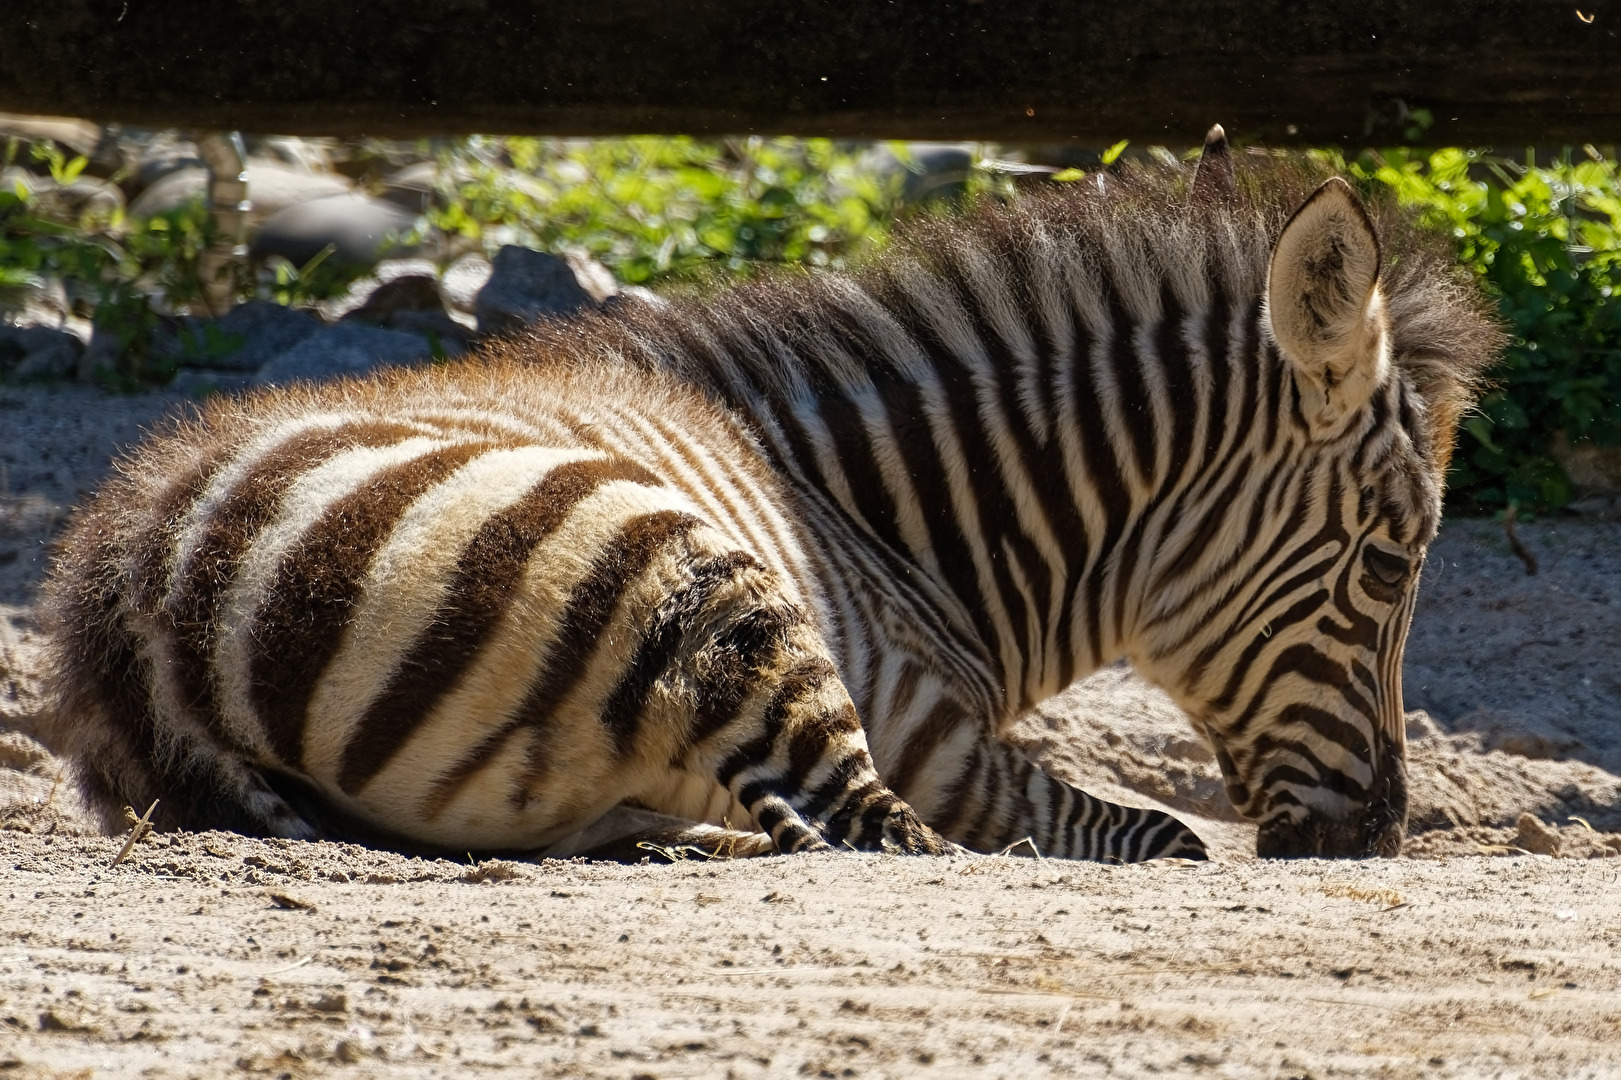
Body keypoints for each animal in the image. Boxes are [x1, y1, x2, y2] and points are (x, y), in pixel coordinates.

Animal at [38, 128, 1500, 862]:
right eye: (1390, 565)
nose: (1379, 836)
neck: (885, 519)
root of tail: (139, 608)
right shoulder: (928, 728)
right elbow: (1143, 835)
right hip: (692, 574)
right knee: (864, 837)